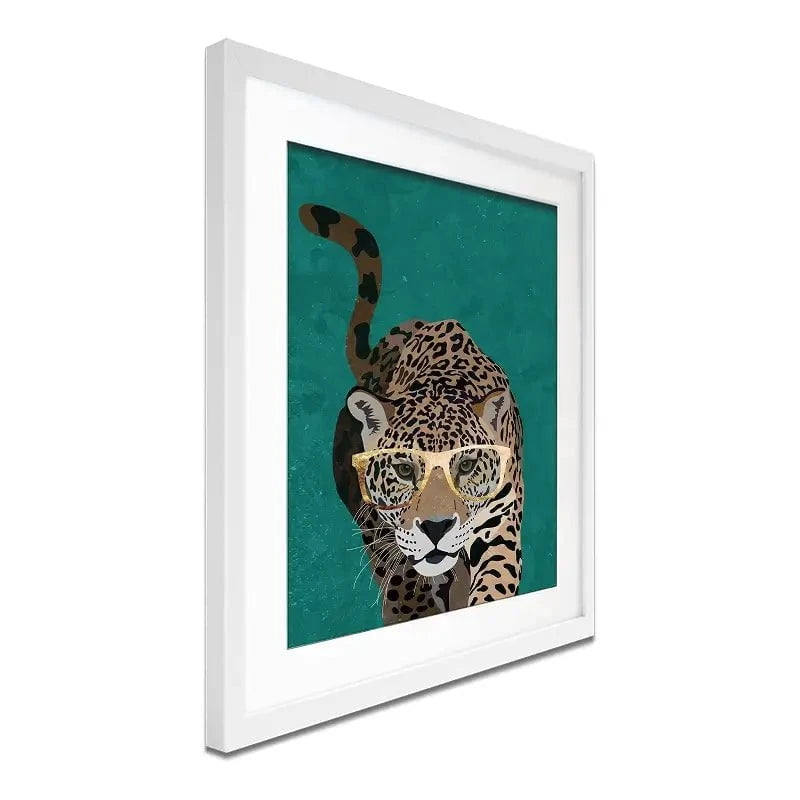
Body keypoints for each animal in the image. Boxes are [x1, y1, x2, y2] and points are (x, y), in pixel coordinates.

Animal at [299, 203, 524, 625]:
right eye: (404, 469)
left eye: (466, 465)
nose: (436, 528)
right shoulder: (383, 526)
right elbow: (404, 573)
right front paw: (413, 609)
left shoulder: (500, 520)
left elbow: (496, 579)